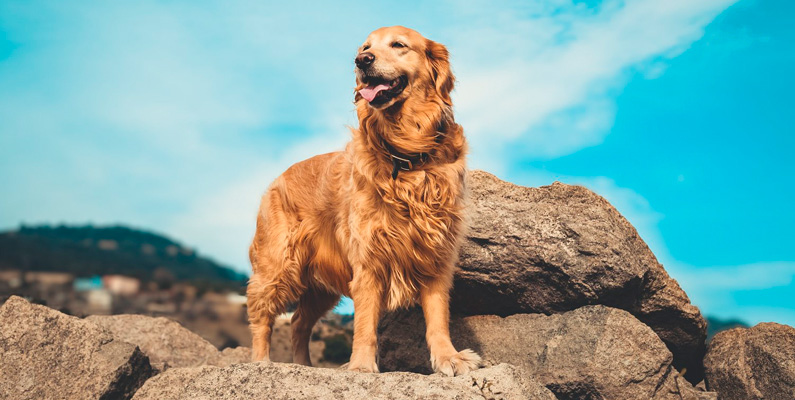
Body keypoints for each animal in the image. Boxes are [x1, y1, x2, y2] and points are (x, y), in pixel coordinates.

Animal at [246, 26, 478, 376]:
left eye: (398, 45)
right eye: (365, 47)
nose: (362, 60)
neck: (405, 155)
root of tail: (277, 178)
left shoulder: (435, 255)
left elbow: (438, 318)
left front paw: (448, 358)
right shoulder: (368, 260)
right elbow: (365, 323)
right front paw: (361, 366)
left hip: (319, 286)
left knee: (299, 322)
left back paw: (306, 365)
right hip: (279, 264)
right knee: (262, 315)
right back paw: (261, 362)